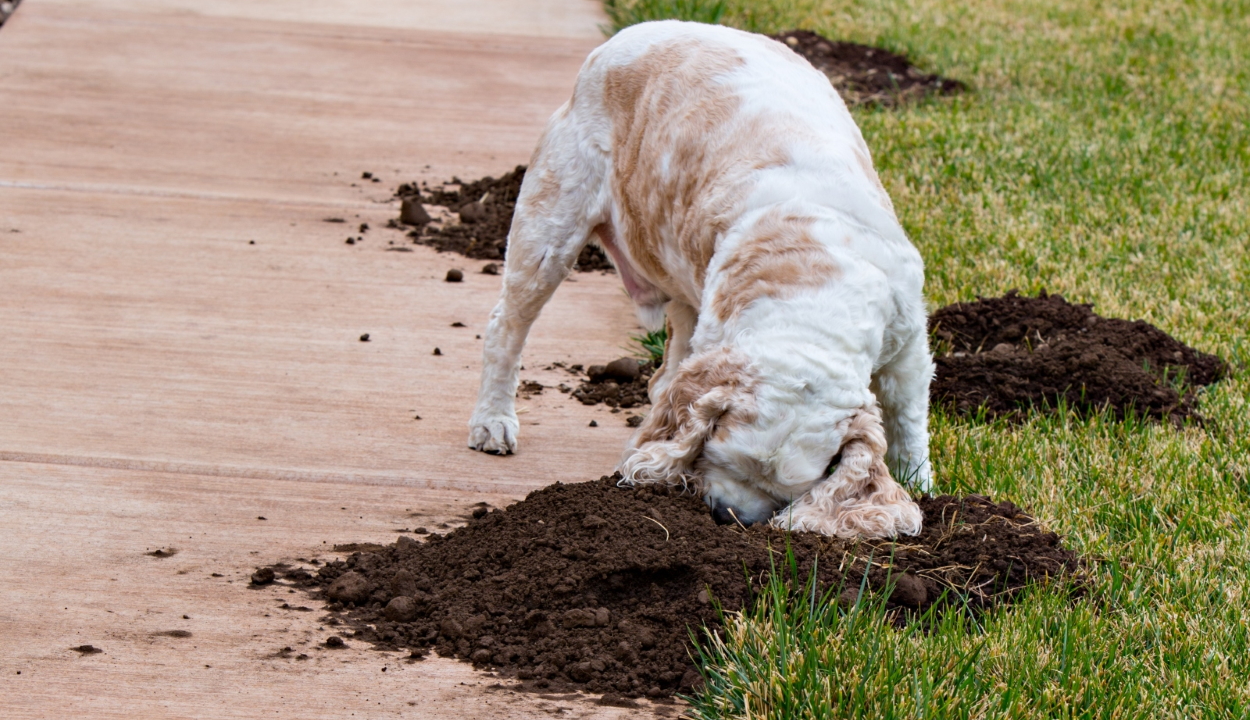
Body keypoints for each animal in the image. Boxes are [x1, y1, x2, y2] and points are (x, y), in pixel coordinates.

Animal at [465, 19, 935, 537]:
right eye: (718, 454)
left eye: (785, 492)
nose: (729, 517)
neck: (814, 294)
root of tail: (634, 33)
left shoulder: (908, 346)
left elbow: (908, 421)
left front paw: (920, 486)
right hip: (550, 224)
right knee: (507, 326)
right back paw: (492, 420)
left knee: (662, 372)